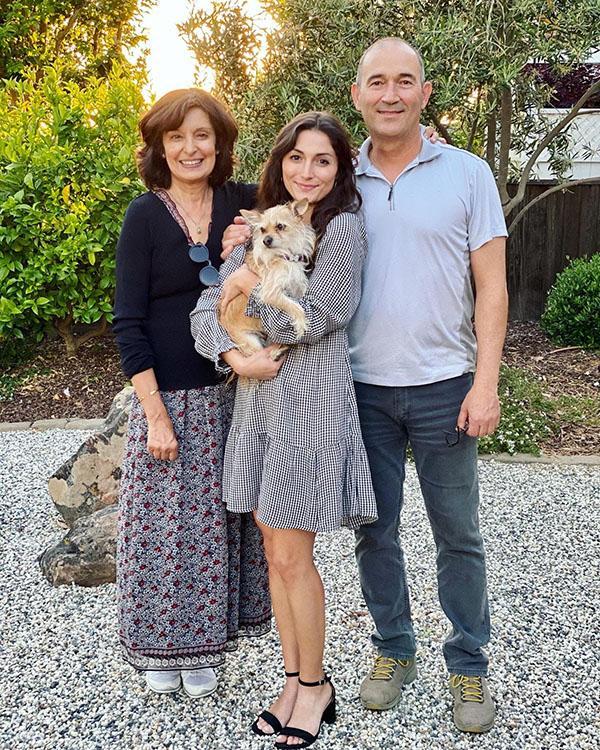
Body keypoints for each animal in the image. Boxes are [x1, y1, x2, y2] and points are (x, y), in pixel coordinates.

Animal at [219, 200, 314, 362]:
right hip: (250, 341)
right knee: (257, 356)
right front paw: (301, 325)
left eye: (280, 226)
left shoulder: (298, 287)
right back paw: (275, 352)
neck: (283, 257)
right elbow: (295, 306)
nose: (266, 240)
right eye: (262, 230)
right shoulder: (271, 293)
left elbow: (298, 300)